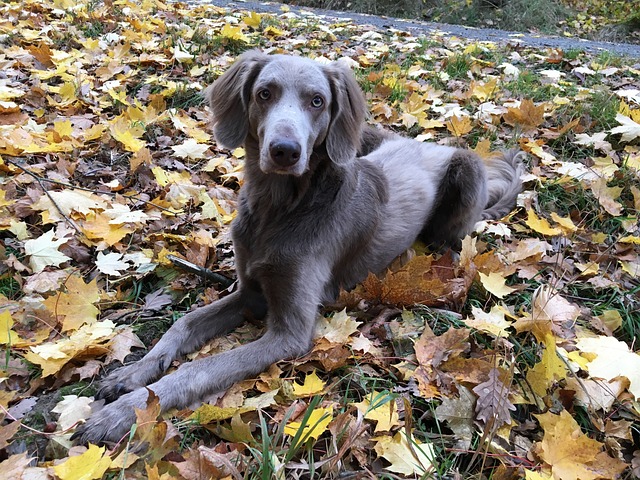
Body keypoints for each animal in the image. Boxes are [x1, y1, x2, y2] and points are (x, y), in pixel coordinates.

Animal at [75, 50, 524, 444]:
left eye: (317, 101)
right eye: (264, 93)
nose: (285, 151)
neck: (279, 208)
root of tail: (432, 144)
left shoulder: (289, 332)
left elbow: (199, 368)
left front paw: (121, 413)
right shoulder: (250, 293)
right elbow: (183, 324)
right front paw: (132, 374)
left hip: (466, 169)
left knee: (453, 238)